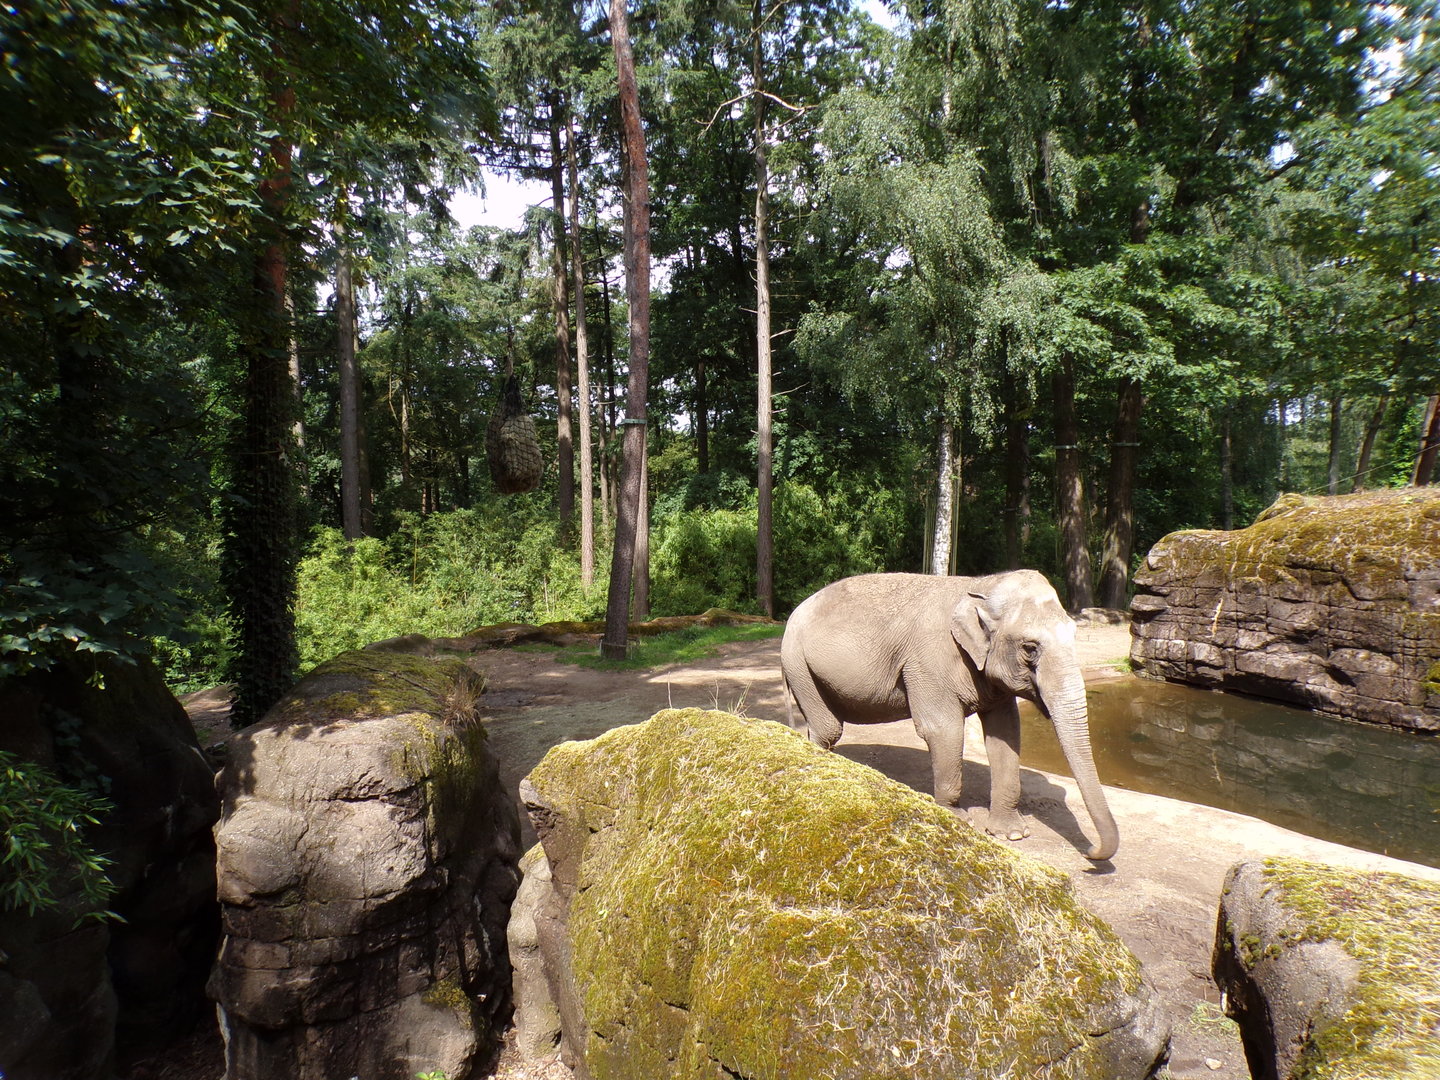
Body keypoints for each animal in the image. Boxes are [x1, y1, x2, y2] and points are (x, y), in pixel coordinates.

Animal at [781, 569, 1118, 861]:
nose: (1090, 852)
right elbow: (943, 729)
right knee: (828, 728)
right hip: (797, 662)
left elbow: (1005, 733)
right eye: (1029, 648)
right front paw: (956, 818)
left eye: (1075, 634)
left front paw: (1012, 834)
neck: (980, 586)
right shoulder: (927, 662)